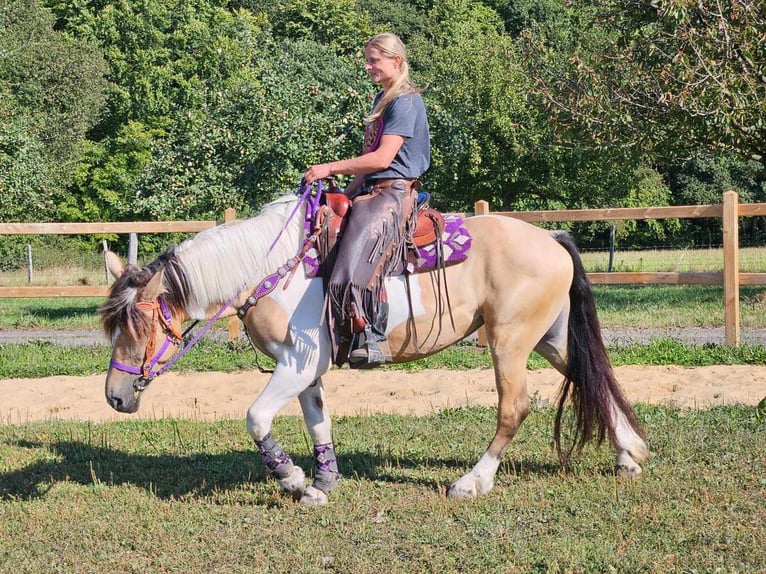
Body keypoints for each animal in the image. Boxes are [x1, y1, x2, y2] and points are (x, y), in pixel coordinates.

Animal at [100, 195, 648, 508]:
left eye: (139, 325)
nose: (115, 397)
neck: (272, 268)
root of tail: (551, 237)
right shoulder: (306, 370)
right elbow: (317, 421)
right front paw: (322, 483)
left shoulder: (296, 363)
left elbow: (256, 418)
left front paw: (292, 479)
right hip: (551, 337)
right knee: (591, 376)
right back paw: (630, 453)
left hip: (510, 343)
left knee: (515, 407)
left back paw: (472, 482)